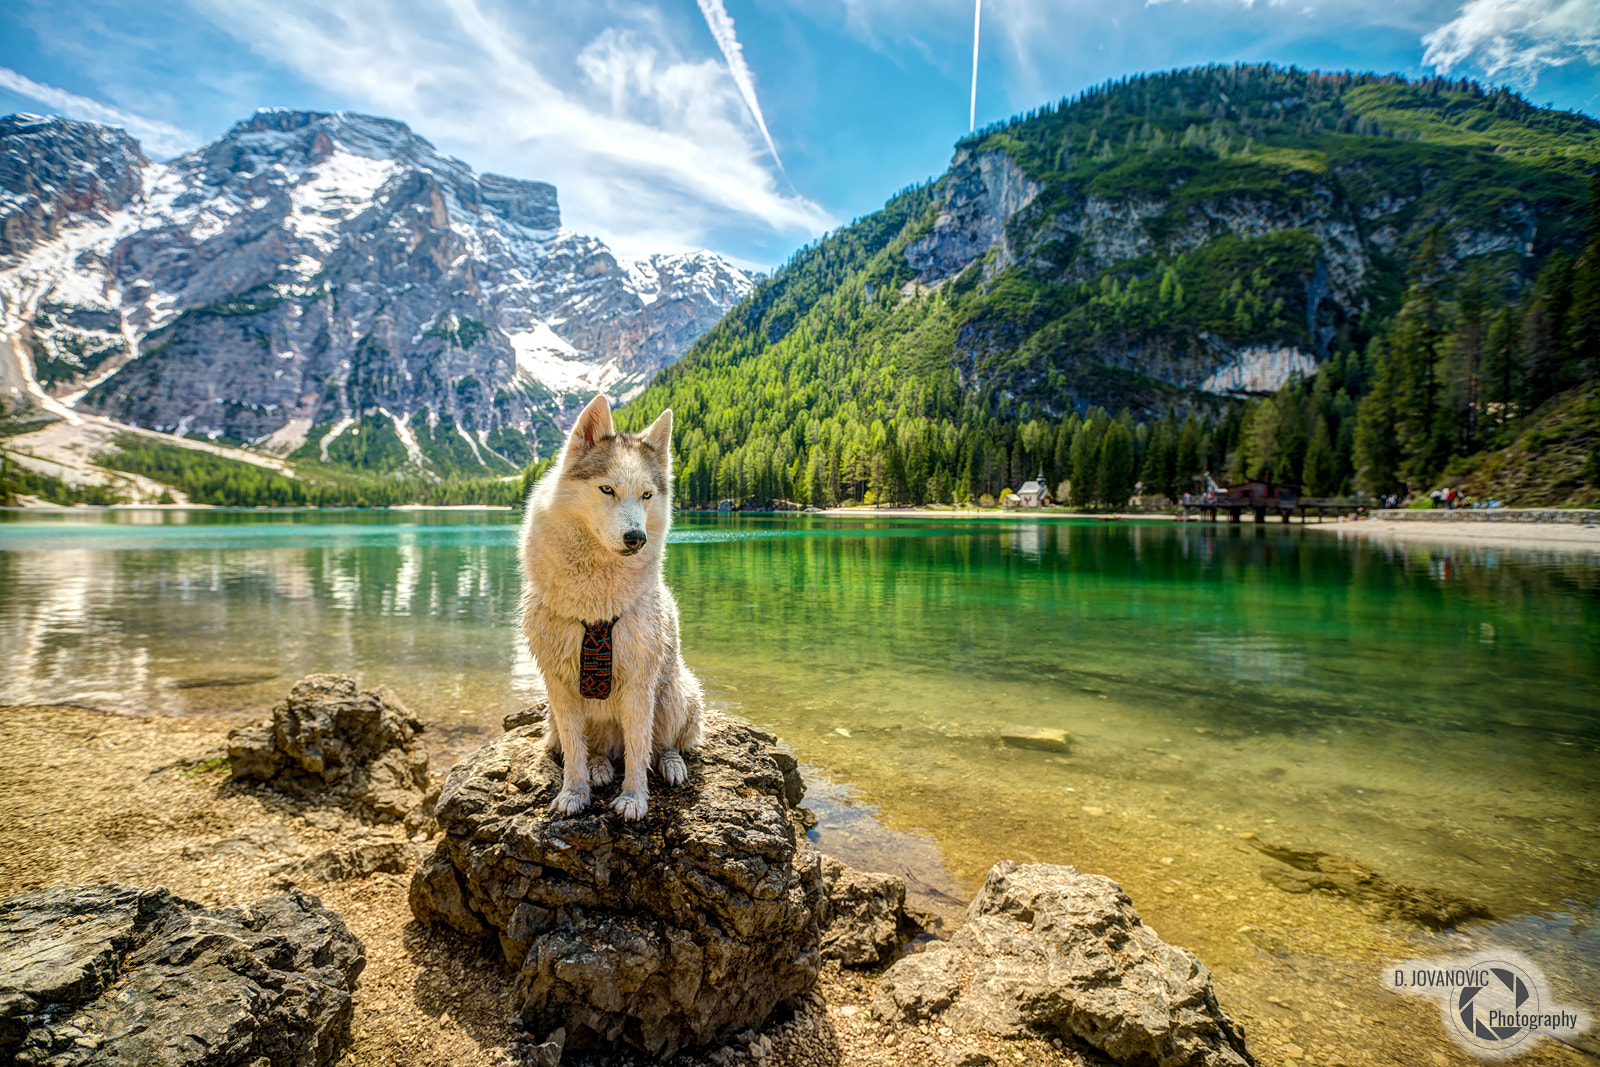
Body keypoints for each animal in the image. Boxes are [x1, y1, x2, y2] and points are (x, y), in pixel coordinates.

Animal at [521, 391, 704, 819]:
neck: (596, 609)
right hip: (557, 717)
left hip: (673, 693)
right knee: (597, 749)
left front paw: (634, 798)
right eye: (607, 490)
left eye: (647, 495)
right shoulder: (560, 686)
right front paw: (574, 792)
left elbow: (639, 751)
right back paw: (600, 767)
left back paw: (671, 763)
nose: (636, 538)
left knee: (661, 743)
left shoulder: (639, 682)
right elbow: (573, 751)